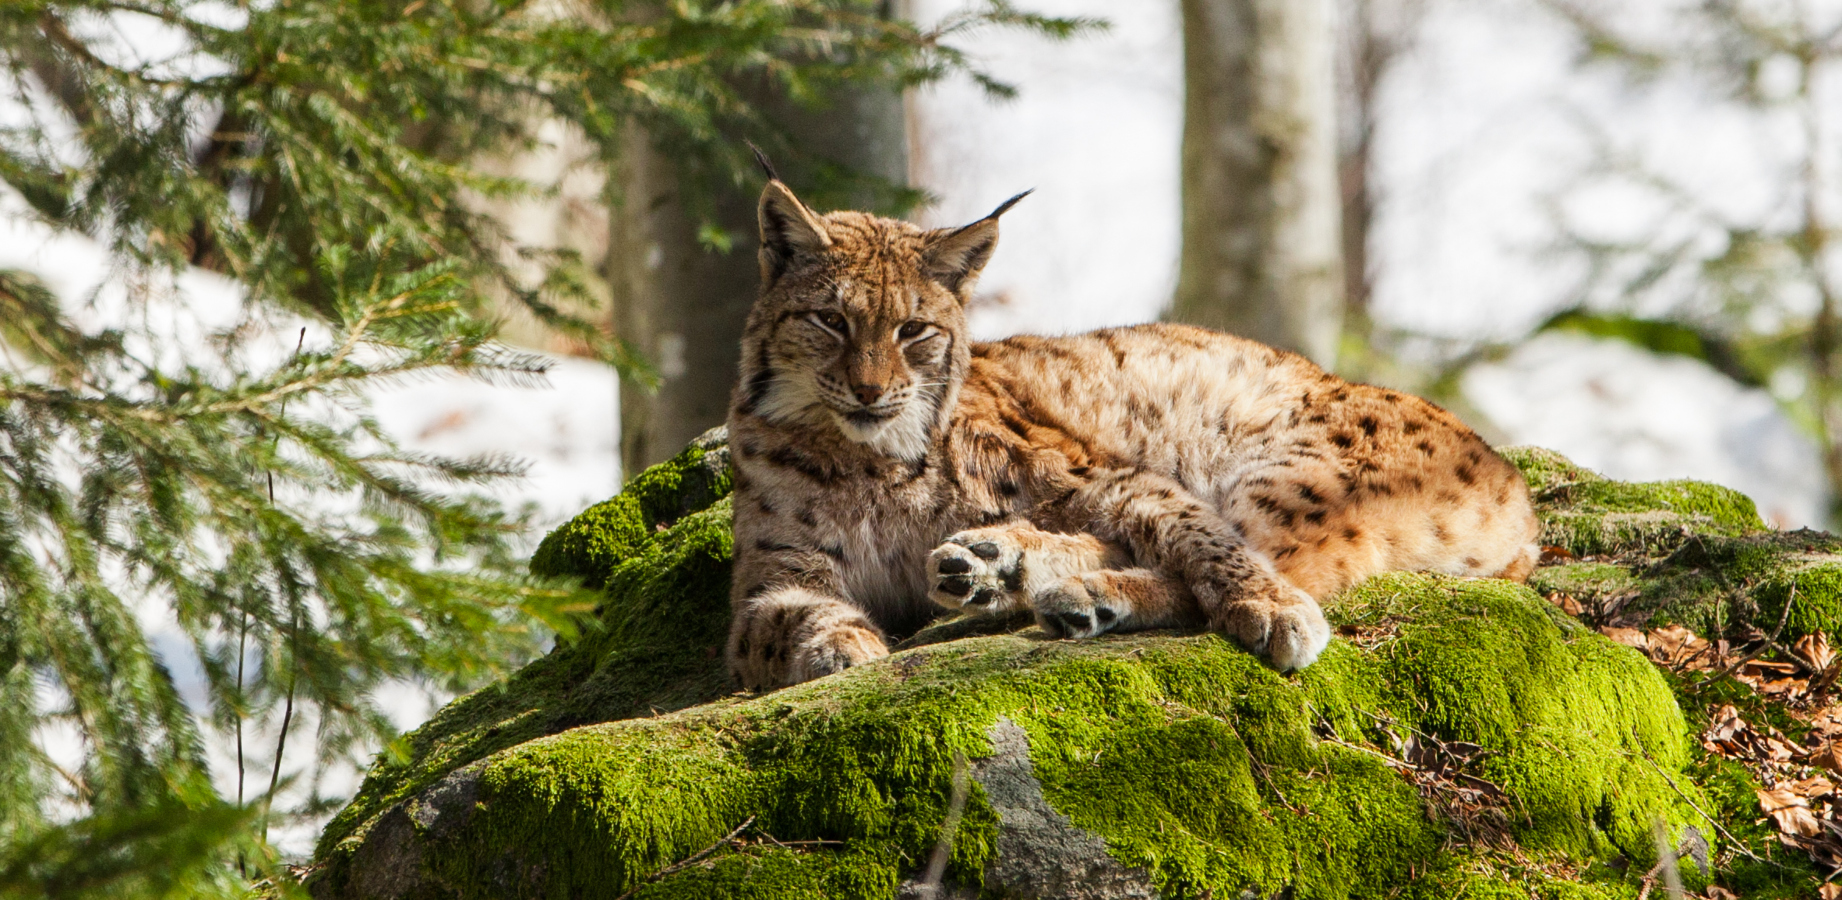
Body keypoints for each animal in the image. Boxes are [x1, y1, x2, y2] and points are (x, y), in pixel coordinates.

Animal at [724, 169, 1540, 692]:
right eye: (830, 321)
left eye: (913, 330)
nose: (870, 391)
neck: (863, 454)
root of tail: (1520, 495)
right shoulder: (772, 579)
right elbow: (780, 623)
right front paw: (840, 642)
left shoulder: (1105, 472)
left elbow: (1196, 532)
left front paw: (1269, 605)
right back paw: (1002, 567)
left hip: (1291, 473)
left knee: (1266, 556)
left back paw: (1076, 587)